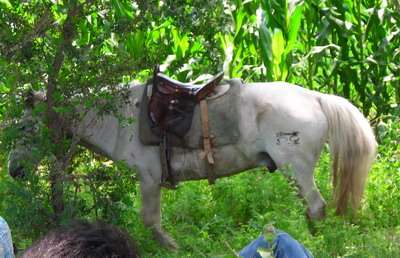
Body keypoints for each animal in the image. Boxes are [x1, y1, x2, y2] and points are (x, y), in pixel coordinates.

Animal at [7, 79, 376, 248]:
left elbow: (150, 221)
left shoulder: (149, 179)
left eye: (24, 128)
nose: (15, 171)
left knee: (316, 207)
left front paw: (172, 248)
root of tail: (315, 97)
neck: (119, 119)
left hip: (295, 168)